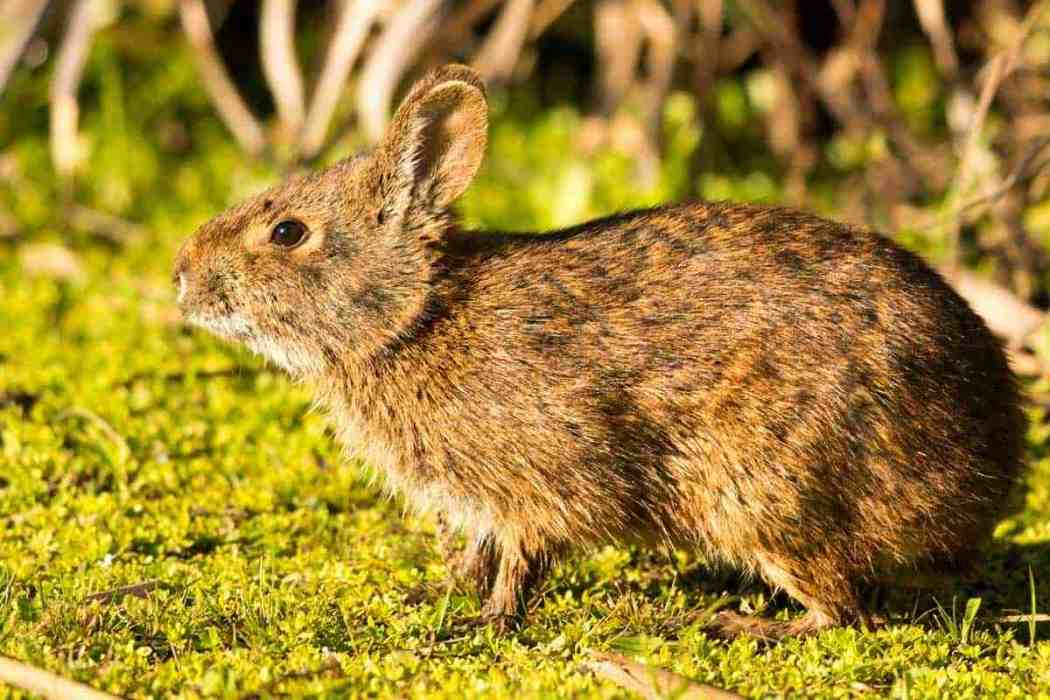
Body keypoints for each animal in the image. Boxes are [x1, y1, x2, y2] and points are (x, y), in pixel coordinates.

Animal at [174, 65, 1024, 642]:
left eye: (288, 232)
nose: (182, 276)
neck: (414, 317)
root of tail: (984, 479)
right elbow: (479, 555)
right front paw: (438, 596)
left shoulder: (539, 478)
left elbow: (521, 561)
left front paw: (486, 623)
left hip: (769, 491)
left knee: (842, 610)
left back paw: (737, 624)